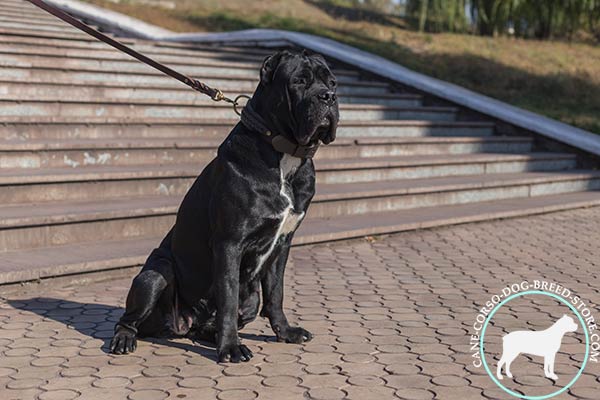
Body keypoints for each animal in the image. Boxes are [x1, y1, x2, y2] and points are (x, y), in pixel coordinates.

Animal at [110, 49, 340, 362]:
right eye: (299, 81)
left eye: (332, 82)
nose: (328, 96)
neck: (284, 156)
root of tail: (182, 325)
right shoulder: (229, 243)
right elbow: (228, 298)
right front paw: (230, 348)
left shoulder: (282, 245)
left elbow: (276, 293)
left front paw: (285, 332)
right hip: (154, 276)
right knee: (129, 318)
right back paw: (125, 338)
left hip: (251, 296)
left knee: (218, 319)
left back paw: (210, 335)